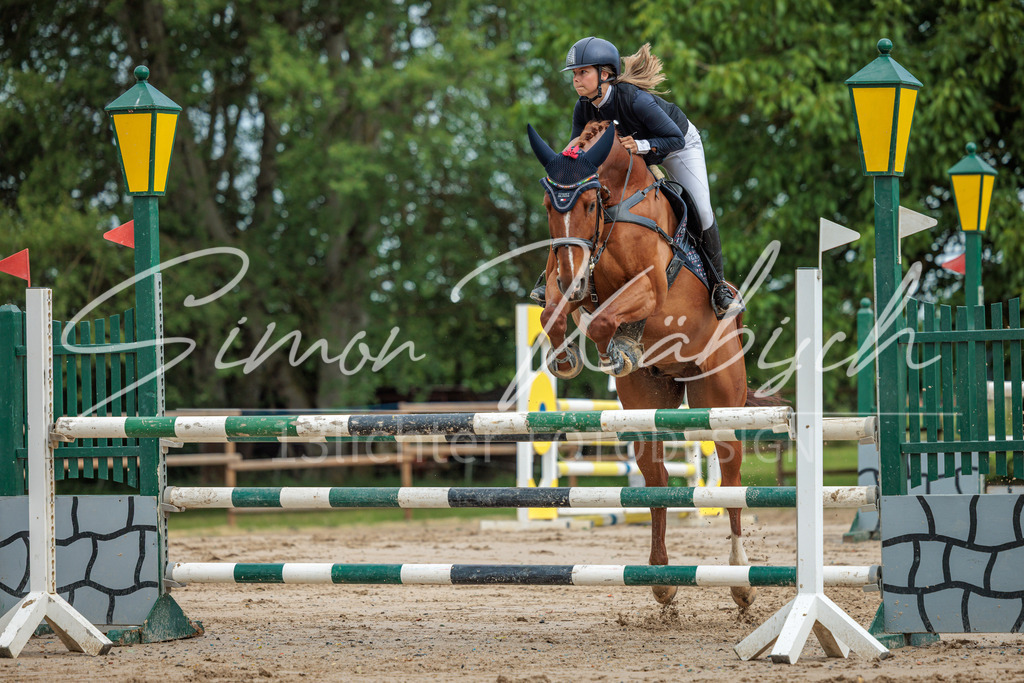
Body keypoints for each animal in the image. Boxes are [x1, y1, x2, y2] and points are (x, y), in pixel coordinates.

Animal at [527, 119, 775, 609]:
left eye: (589, 202)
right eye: (549, 206)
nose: (574, 278)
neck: (618, 203)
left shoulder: (650, 286)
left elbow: (608, 317)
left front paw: (620, 346)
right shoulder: (566, 274)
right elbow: (553, 313)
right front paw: (566, 357)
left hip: (720, 404)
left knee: (732, 482)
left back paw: (740, 581)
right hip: (646, 409)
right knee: (656, 479)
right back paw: (661, 578)